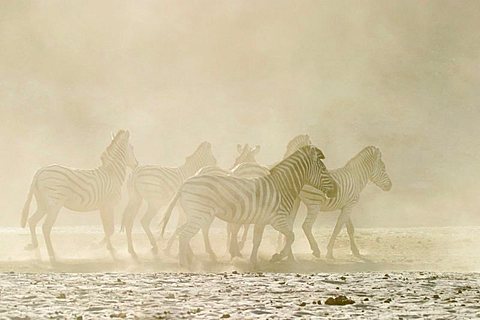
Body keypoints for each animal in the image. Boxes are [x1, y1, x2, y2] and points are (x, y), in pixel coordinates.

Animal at [20, 130, 137, 262]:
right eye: (132, 148)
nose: (137, 164)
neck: (112, 174)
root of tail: (40, 171)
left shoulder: (102, 207)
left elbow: (107, 228)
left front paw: (108, 248)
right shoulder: (108, 205)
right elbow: (110, 229)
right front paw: (100, 246)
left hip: (43, 204)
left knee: (32, 221)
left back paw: (34, 247)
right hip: (54, 205)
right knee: (45, 227)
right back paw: (52, 255)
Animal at [159, 145, 336, 268]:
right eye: (323, 169)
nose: (334, 190)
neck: (282, 187)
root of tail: (184, 183)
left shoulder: (261, 221)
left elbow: (257, 241)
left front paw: (253, 262)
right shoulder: (277, 219)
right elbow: (291, 236)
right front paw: (277, 257)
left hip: (195, 214)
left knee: (181, 231)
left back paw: (190, 259)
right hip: (200, 214)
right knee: (184, 235)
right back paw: (185, 264)